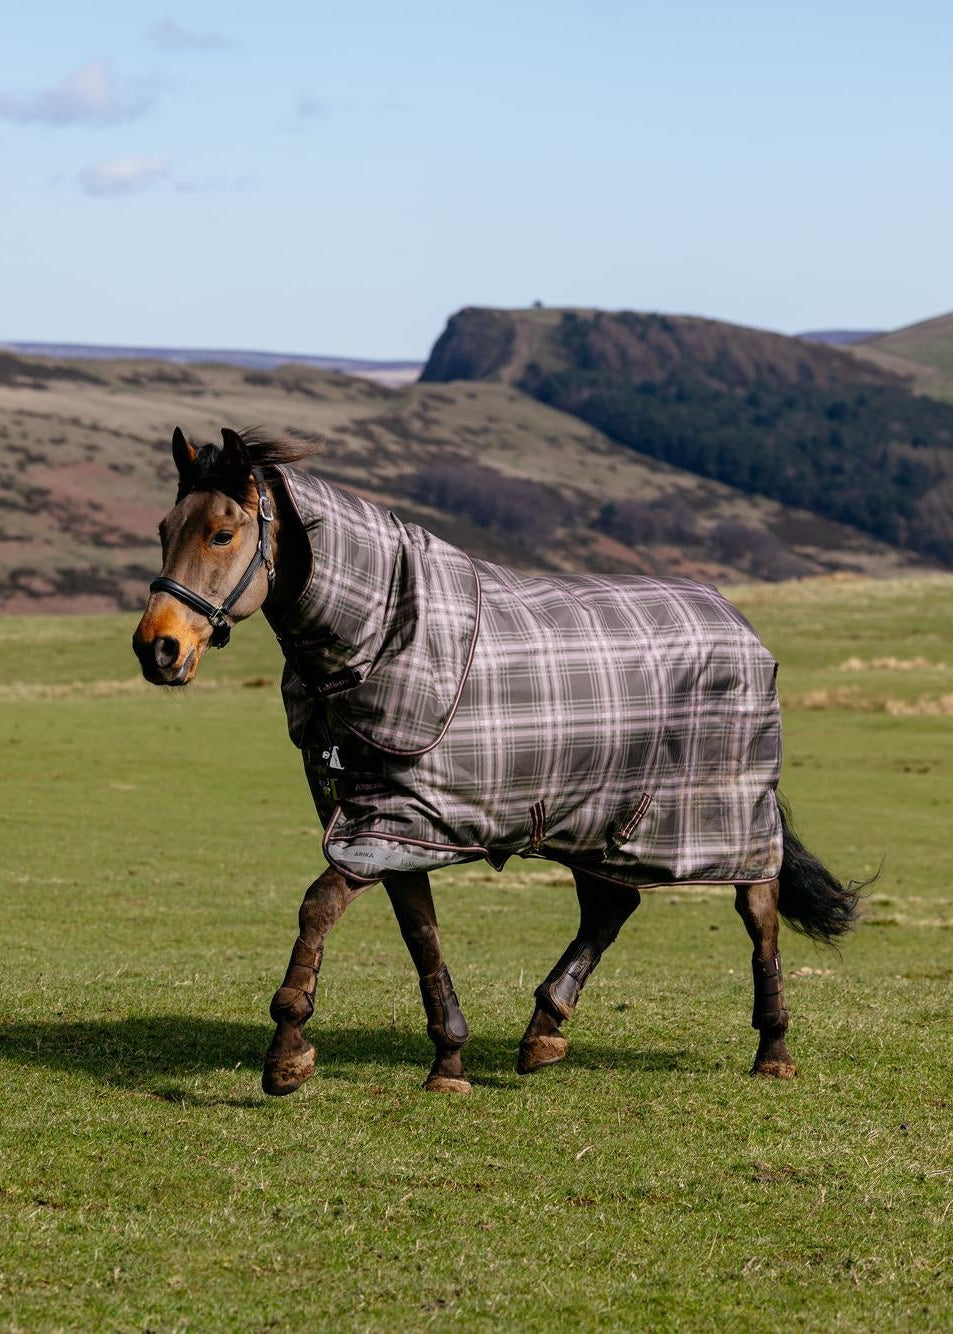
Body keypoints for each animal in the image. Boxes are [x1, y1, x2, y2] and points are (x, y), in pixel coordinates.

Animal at [132, 426, 861, 1097]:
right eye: (165, 529)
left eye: (222, 534)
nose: (157, 648)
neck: (385, 637)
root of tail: (742, 627)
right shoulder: (394, 827)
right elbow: (420, 935)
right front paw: (448, 1062)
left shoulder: (394, 821)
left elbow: (318, 908)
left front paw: (287, 1052)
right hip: (602, 819)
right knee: (611, 907)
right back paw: (544, 1030)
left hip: (724, 815)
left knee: (758, 912)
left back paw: (773, 1050)